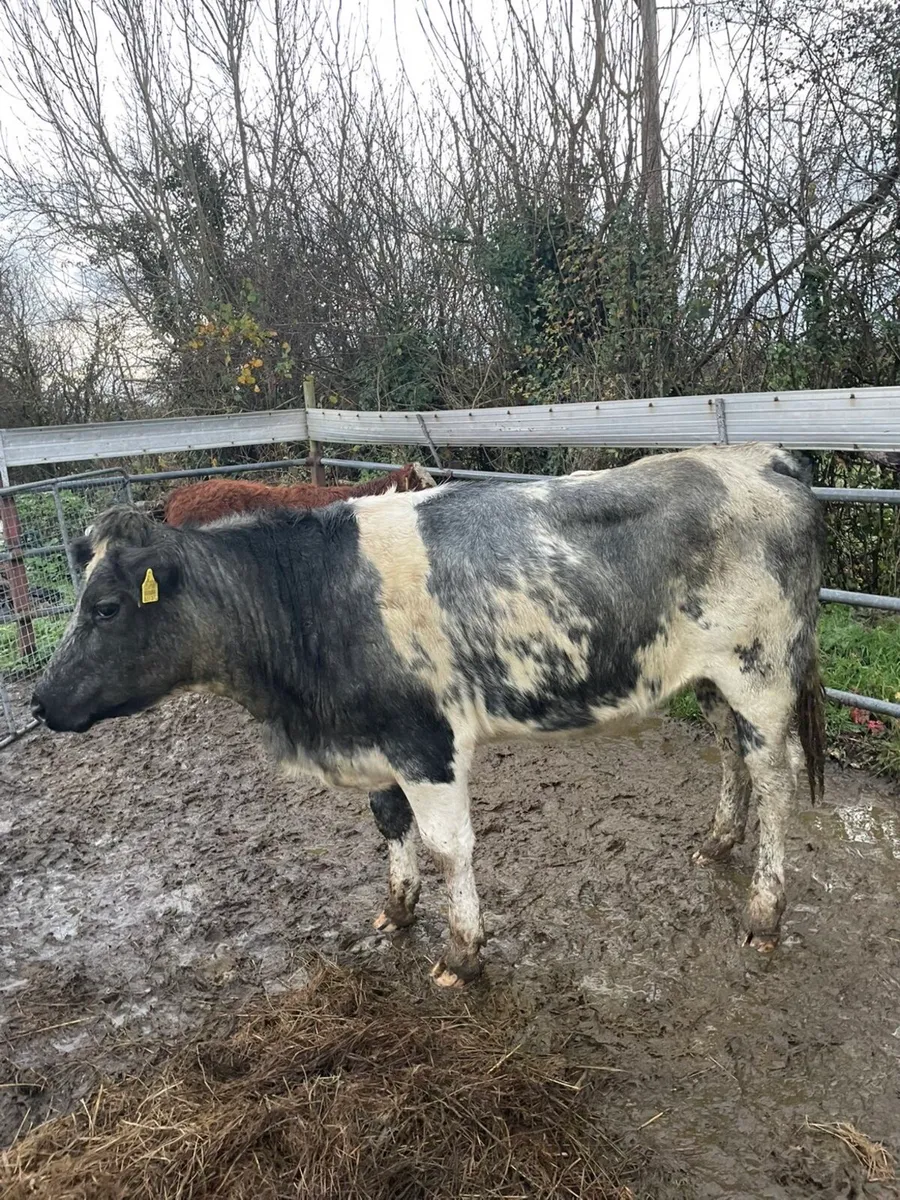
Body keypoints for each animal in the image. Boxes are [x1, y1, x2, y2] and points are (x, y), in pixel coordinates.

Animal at [31, 443, 826, 988]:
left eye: (106, 607)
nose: (39, 702)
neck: (310, 600)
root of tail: (763, 458)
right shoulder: (376, 737)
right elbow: (390, 825)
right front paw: (398, 909)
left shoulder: (426, 741)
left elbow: (450, 847)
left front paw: (462, 954)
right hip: (710, 676)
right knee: (729, 753)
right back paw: (718, 842)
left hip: (761, 669)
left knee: (775, 775)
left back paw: (764, 912)